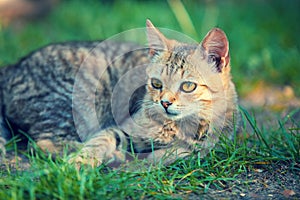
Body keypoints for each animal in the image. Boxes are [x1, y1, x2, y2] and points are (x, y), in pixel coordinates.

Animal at [0, 19, 239, 166]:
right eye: (156, 83)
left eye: (188, 86)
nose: (164, 103)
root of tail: (14, 66)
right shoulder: (122, 127)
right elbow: (101, 139)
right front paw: (81, 162)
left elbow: (182, 152)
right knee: (43, 142)